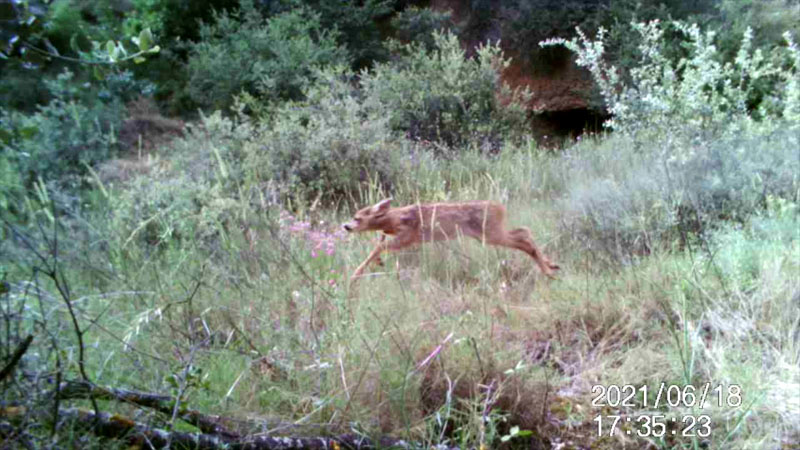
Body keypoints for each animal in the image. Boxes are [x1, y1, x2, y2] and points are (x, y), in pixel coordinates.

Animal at [340, 198, 560, 282]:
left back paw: (548, 271)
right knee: (524, 230)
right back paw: (552, 265)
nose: (346, 226)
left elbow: (380, 246)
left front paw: (356, 273)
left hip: (490, 233)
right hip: (489, 233)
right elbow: (380, 243)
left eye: (358, 218)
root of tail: (500, 208)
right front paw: (377, 262)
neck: (394, 219)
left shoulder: (409, 237)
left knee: (524, 238)